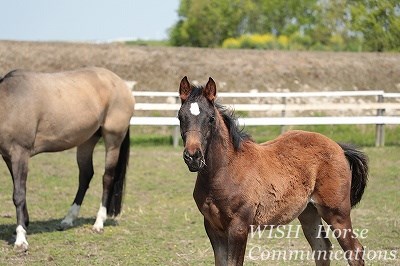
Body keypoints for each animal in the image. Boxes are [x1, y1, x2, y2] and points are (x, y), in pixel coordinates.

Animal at [0, 67, 134, 250]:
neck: (9, 102)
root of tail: (121, 84)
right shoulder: (8, 156)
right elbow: (19, 190)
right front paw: (24, 225)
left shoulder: (20, 154)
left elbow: (19, 194)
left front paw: (21, 239)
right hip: (87, 141)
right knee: (85, 176)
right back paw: (68, 219)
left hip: (113, 140)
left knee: (107, 178)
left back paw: (99, 223)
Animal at [178, 77, 368, 266]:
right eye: (180, 117)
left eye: (210, 118)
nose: (193, 156)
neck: (225, 170)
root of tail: (338, 147)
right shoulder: (212, 227)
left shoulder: (239, 227)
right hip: (308, 211)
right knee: (322, 247)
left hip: (337, 212)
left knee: (354, 250)